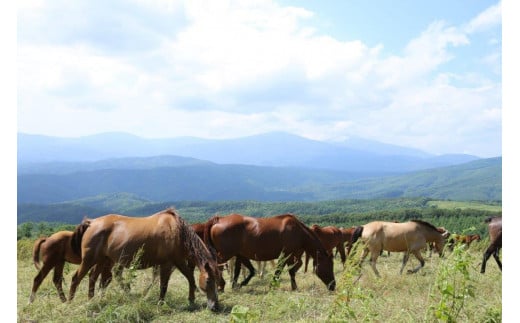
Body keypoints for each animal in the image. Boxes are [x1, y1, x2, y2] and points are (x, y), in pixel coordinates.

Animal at [67, 209, 219, 312]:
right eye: (208, 281)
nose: (215, 306)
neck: (177, 231)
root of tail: (91, 222)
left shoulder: (176, 261)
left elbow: (189, 277)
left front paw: (191, 299)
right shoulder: (168, 263)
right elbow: (165, 284)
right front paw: (161, 303)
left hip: (102, 260)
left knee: (93, 277)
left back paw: (92, 300)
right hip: (89, 260)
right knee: (76, 278)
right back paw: (70, 302)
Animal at [201, 214, 336, 292]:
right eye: (329, 267)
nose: (333, 286)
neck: (298, 231)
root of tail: (218, 220)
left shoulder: (291, 256)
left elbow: (292, 270)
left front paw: (294, 286)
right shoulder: (285, 255)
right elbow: (280, 270)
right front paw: (273, 285)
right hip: (225, 254)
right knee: (217, 267)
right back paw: (220, 285)